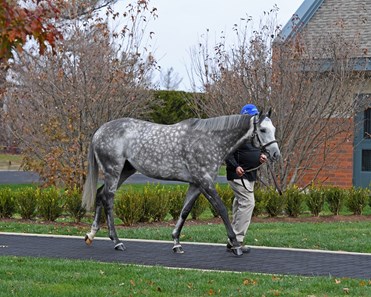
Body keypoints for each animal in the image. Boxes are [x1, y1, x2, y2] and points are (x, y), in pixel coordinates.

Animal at [80, 110, 280, 256]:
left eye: (274, 128)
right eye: (263, 130)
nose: (275, 154)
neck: (210, 140)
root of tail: (99, 131)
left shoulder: (196, 184)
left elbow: (185, 210)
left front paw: (176, 242)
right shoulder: (205, 182)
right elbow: (222, 209)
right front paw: (235, 244)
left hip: (125, 171)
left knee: (100, 194)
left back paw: (91, 234)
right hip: (113, 171)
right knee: (108, 198)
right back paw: (117, 241)